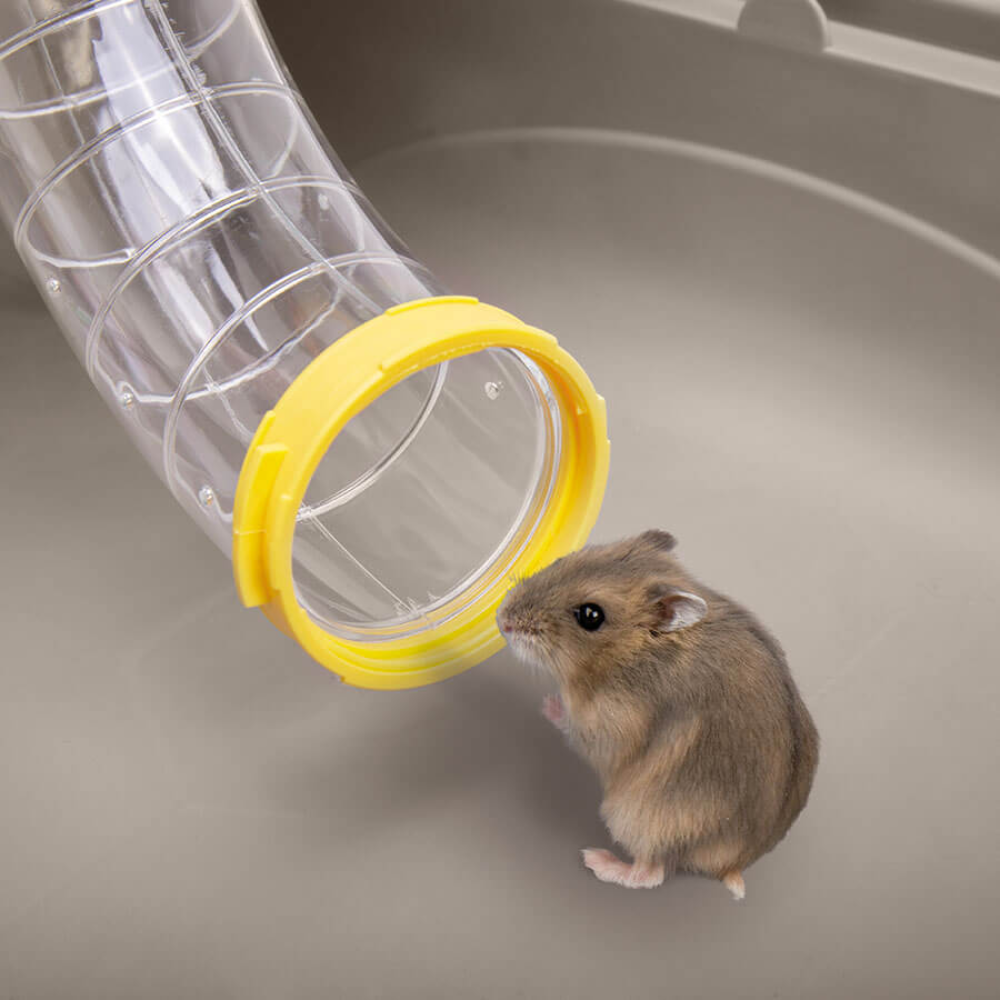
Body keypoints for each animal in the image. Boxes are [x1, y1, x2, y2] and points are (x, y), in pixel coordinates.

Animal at [497, 530, 818, 899]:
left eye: (591, 616)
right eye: (562, 559)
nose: (502, 620)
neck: (633, 653)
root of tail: (730, 867)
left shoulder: (610, 723)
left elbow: (573, 725)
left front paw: (548, 703)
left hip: (636, 816)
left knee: (651, 873)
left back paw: (596, 860)